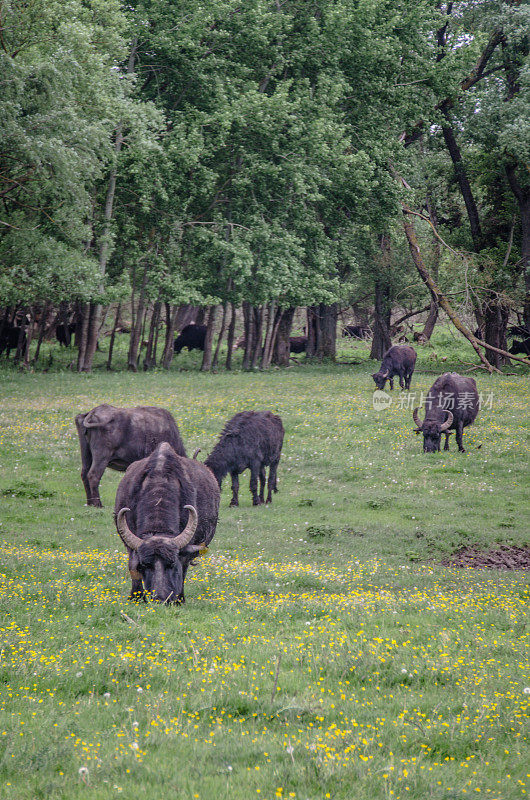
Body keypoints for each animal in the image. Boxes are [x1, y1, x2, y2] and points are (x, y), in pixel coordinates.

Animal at [114, 440, 219, 604]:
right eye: (145, 565)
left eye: (172, 563)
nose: (161, 598)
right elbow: (132, 565)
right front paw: (136, 597)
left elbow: (183, 568)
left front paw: (179, 599)